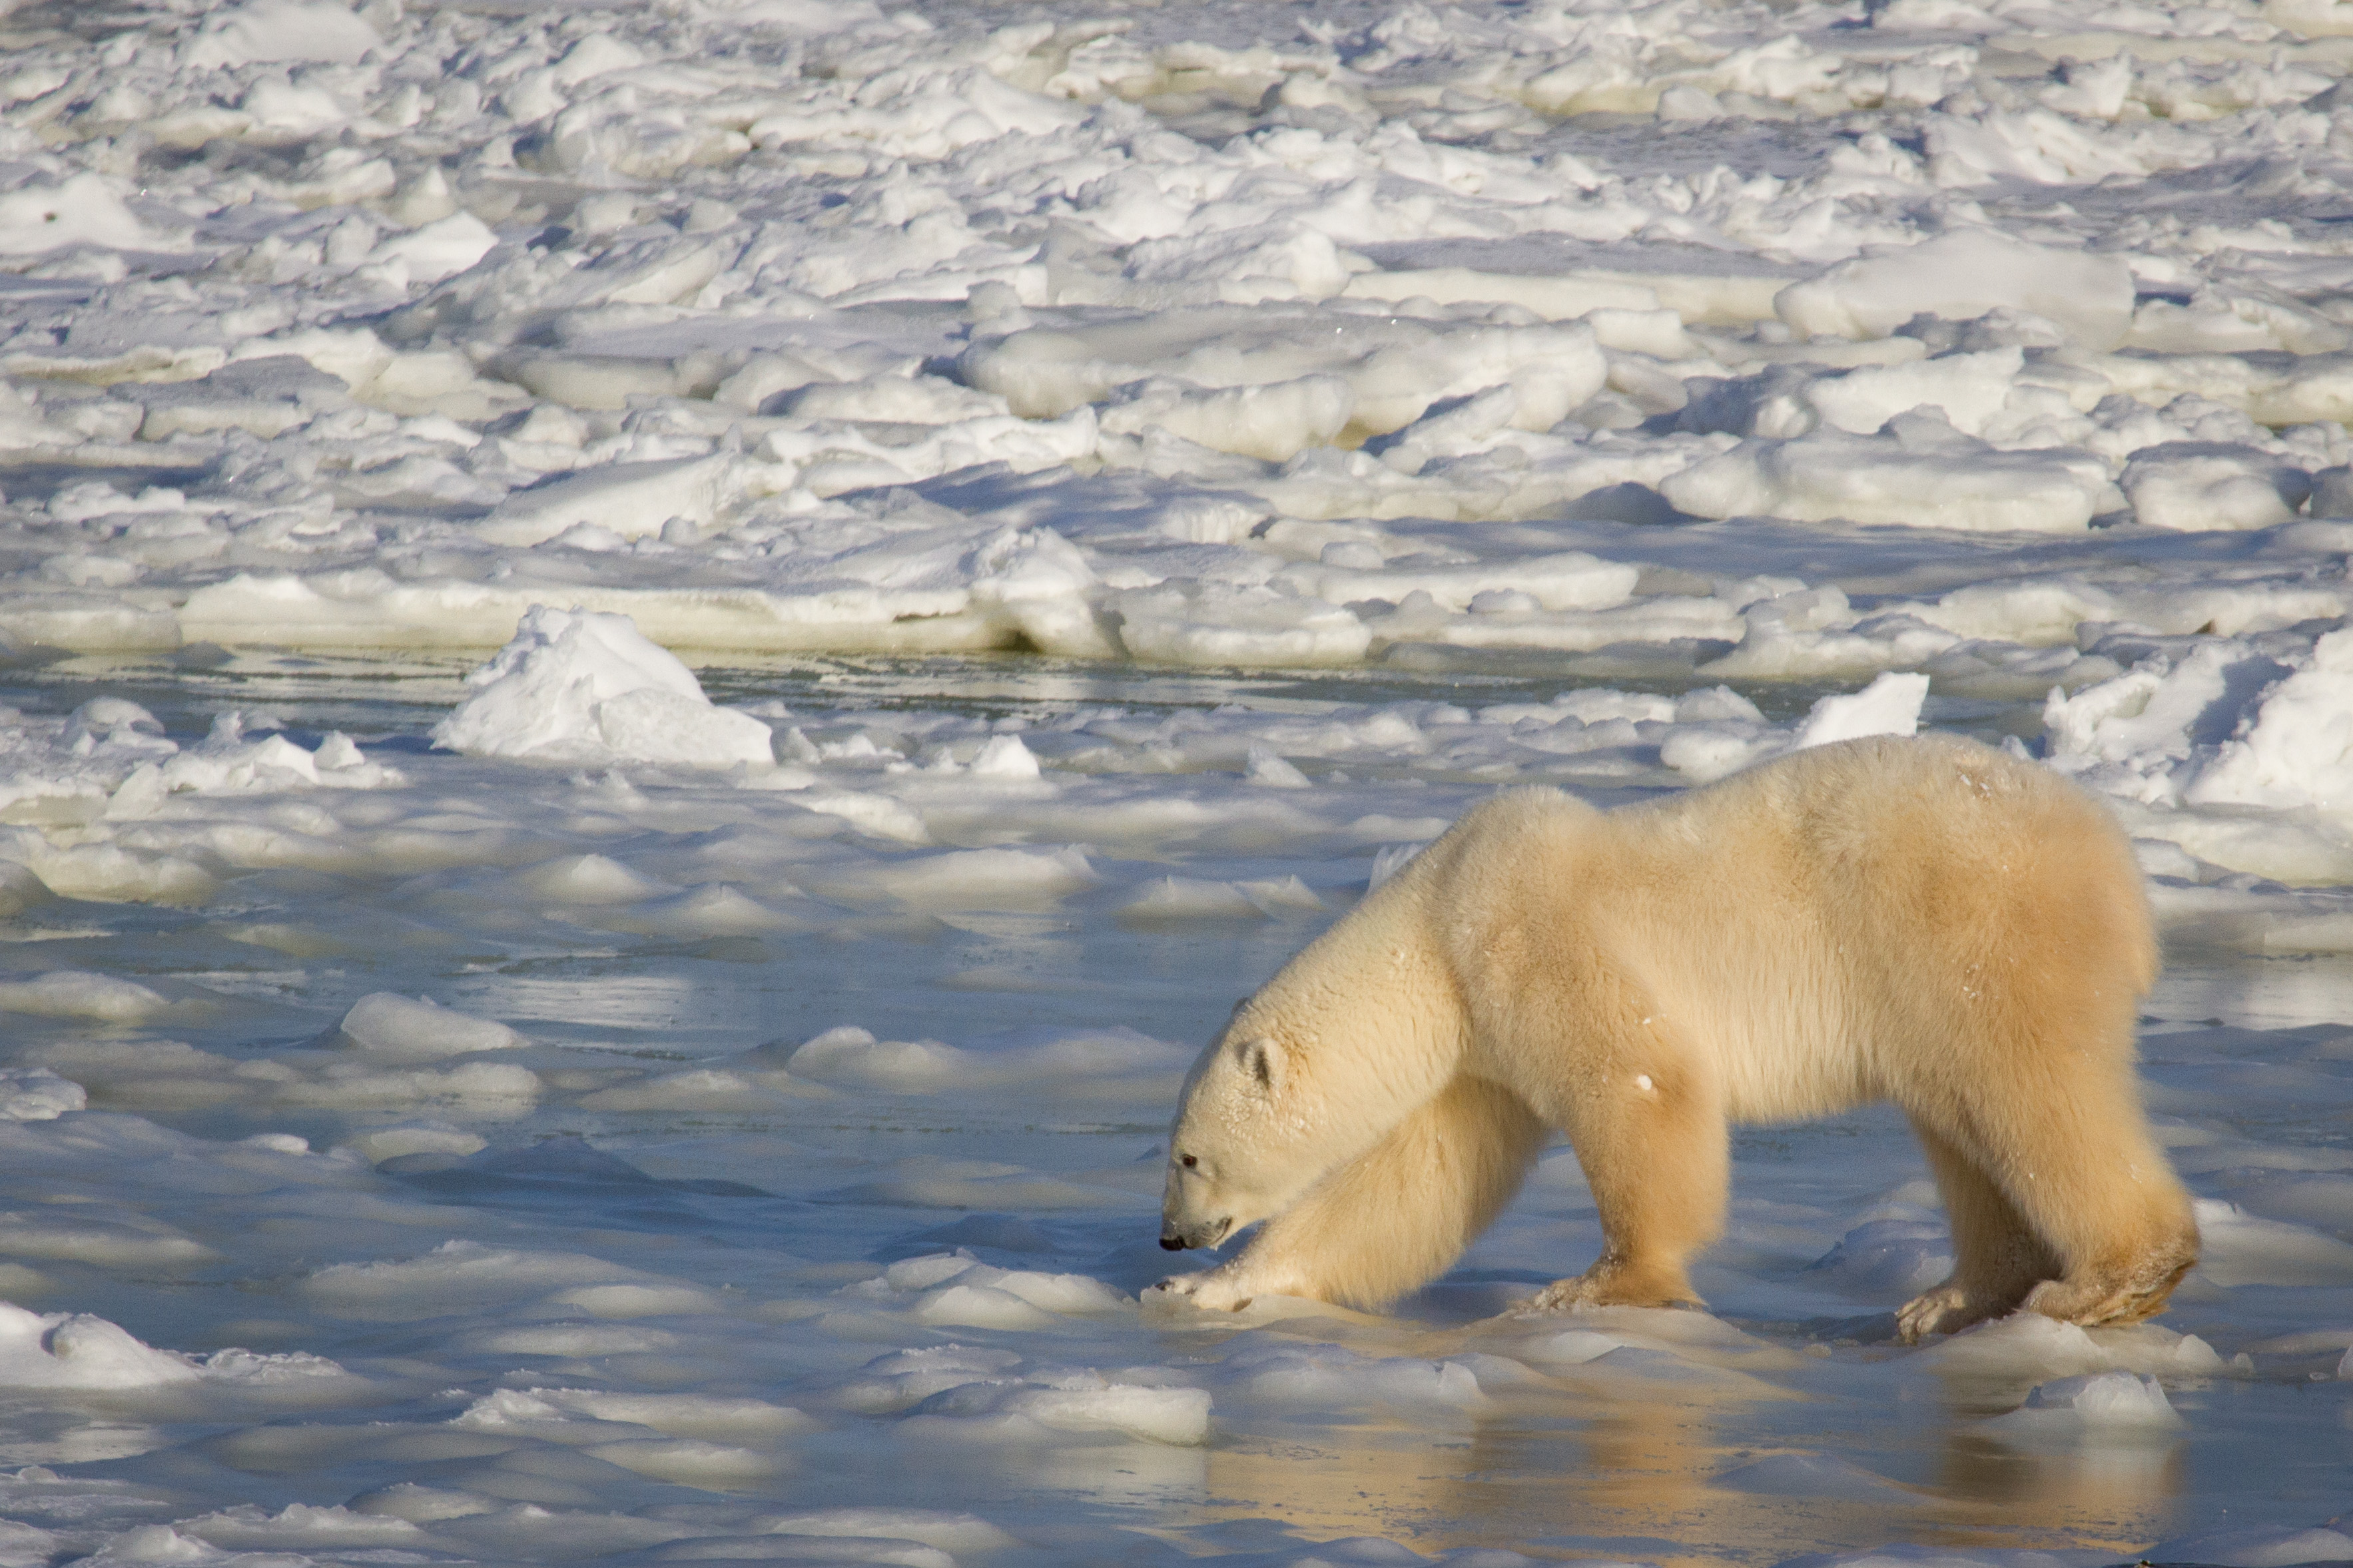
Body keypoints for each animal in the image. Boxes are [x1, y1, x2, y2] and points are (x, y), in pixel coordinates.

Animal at [1148, 728, 2192, 1344]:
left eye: (1188, 1154)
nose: (1169, 1237)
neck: (1434, 927)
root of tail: (2113, 857)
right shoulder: (1476, 1048)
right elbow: (1417, 1180)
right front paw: (1218, 1289)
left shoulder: (1531, 938)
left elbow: (1639, 1083)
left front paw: (1592, 1286)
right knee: (1962, 1121)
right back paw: (1955, 1297)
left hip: (1971, 929)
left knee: (2029, 1086)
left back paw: (2107, 1280)